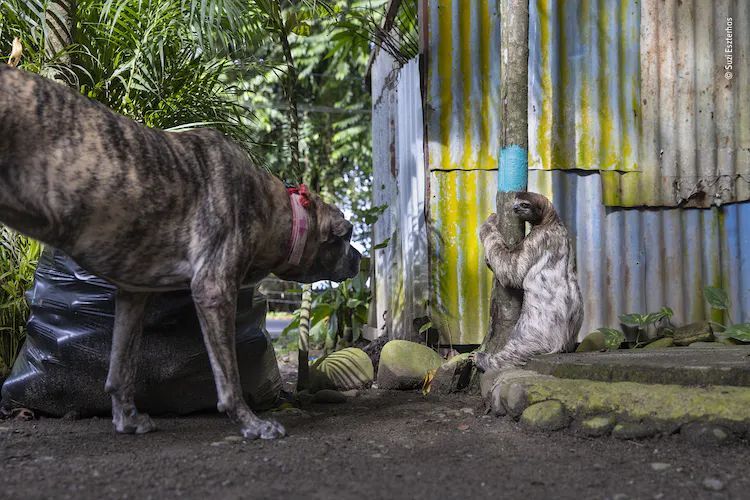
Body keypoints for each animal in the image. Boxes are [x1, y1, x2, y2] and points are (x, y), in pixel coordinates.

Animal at [0, 65, 362, 438]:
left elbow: (120, 367)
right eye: (346, 236)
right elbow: (228, 375)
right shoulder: (213, 290)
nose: (360, 260)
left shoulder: (132, 296)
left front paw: (126, 418)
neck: (270, 205)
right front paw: (250, 422)